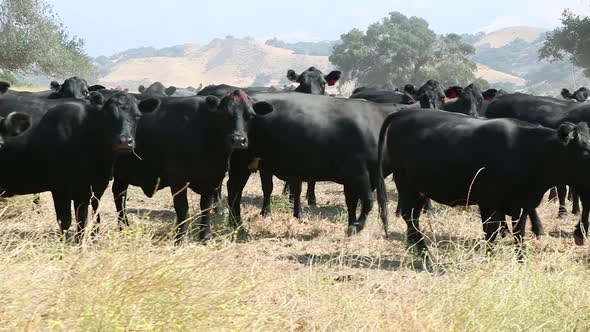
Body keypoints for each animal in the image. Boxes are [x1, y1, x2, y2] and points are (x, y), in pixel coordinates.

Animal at [0, 93, 160, 239]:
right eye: (109, 116)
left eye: (137, 116)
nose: (125, 141)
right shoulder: (60, 187)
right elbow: (65, 221)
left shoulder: (86, 190)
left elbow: (82, 221)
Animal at [111, 89, 272, 243]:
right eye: (225, 114)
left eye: (250, 116)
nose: (238, 139)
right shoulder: (178, 180)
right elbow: (182, 209)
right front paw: (180, 238)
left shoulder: (212, 179)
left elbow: (205, 207)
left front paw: (205, 236)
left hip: (121, 175)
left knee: (120, 194)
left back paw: (124, 227)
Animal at [229, 91, 396, 236]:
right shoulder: (359, 173)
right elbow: (368, 201)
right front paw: (356, 227)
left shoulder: (351, 179)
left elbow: (352, 203)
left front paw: (351, 224)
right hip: (241, 162)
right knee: (234, 189)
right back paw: (237, 225)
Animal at [376, 109, 590, 252]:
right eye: (586, 151)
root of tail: (403, 113)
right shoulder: (488, 202)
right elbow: (491, 233)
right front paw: (489, 257)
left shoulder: (523, 203)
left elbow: (519, 234)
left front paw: (521, 262)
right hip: (406, 184)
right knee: (409, 216)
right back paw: (423, 252)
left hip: (420, 188)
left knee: (414, 218)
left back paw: (417, 249)